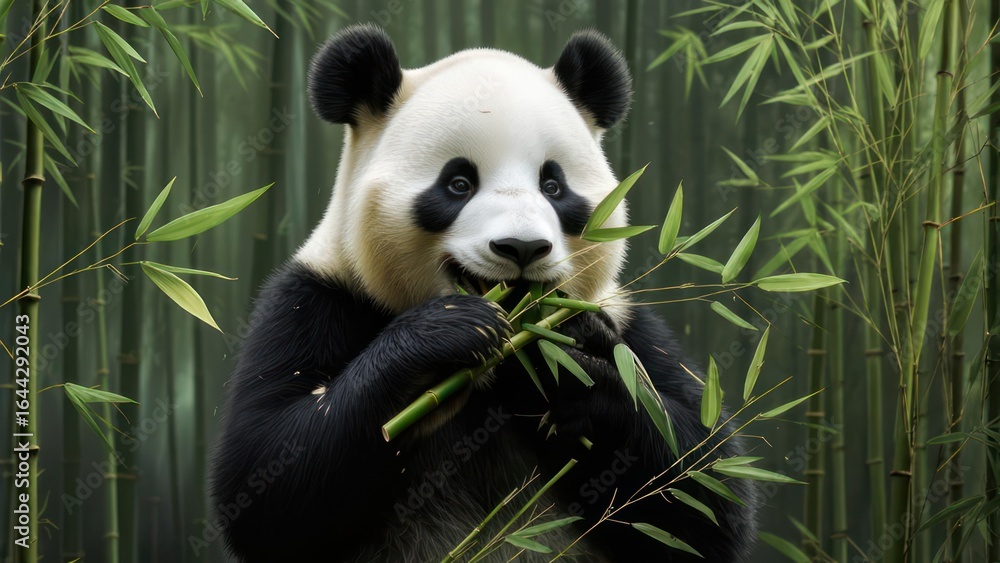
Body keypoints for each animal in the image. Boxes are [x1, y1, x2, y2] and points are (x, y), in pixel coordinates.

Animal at [211, 24, 758, 563]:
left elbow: (704, 484)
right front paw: (447, 333)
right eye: (458, 183)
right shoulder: (317, 298)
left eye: (553, 186)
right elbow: (266, 473)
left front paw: (571, 363)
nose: (522, 247)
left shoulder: (628, 321)